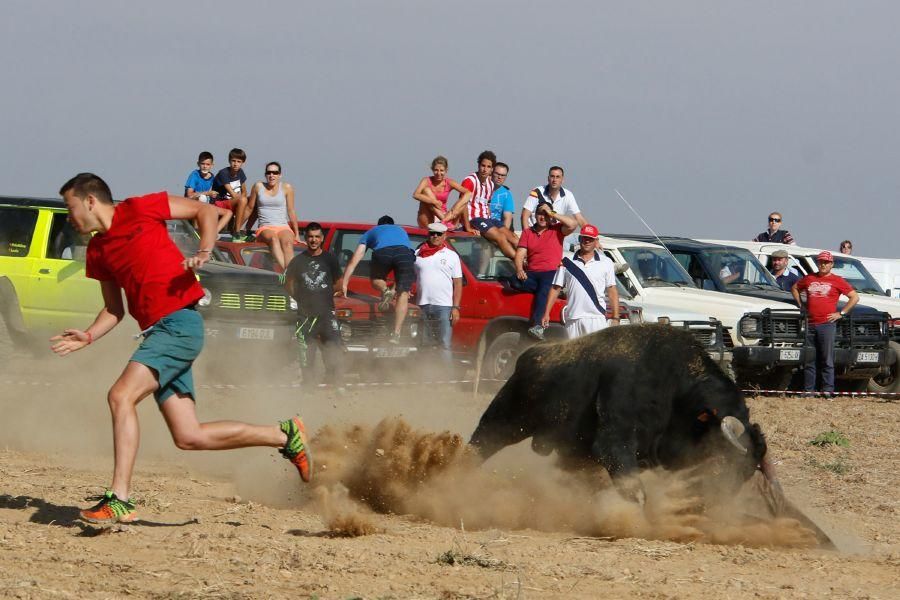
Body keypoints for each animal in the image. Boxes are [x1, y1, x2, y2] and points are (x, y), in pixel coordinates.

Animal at [474, 326, 832, 548]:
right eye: (722, 459)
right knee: (479, 446)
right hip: (505, 420)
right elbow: (636, 492)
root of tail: (530, 355)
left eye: (747, 473)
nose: (712, 505)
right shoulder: (614, 442)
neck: (676, 392)